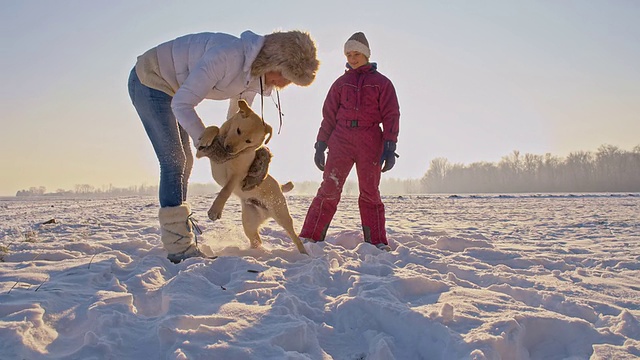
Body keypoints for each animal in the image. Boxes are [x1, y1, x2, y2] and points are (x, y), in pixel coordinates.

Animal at [196, 100, 308, 255]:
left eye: (248, 141)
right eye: (238, 130)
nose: (229, 149)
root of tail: (279, 186)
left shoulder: (238, 175)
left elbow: (225, 190)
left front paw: (215, 210)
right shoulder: (201, 153)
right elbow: (214, 128)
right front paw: (206, 138)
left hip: (281, 214)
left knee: (294, 236)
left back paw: (305, 254)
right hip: (249, 221)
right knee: (256, 240)